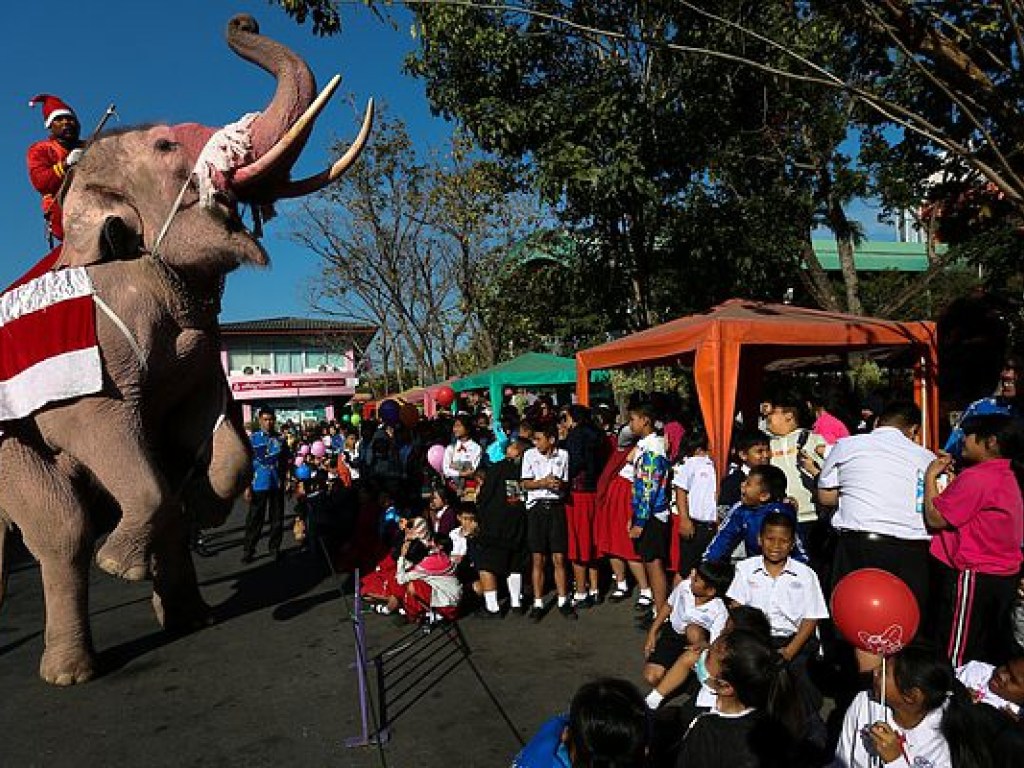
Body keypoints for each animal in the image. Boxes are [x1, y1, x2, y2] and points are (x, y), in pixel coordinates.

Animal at [0, 13, 374, 684]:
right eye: (167, 149)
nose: (243, 19)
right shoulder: (90, 358)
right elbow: (97, 423)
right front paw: (120, 566)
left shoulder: (201, 353)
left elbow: (219, 435)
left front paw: (204, 511)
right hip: (7, 438)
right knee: (62, 529)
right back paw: (71, 672)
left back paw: (188, 617)